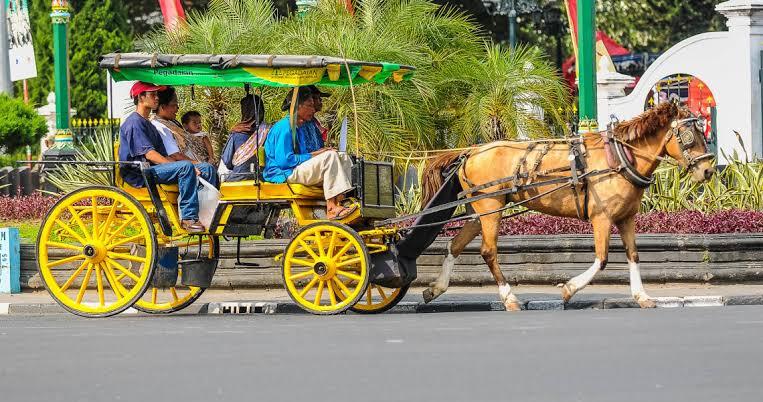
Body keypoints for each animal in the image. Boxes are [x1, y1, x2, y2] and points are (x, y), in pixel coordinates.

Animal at [418, 102, 716, 310]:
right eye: (688, 134)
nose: (708, 171)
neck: (620, 157)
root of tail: (470, 151)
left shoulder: (626, 218)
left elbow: (633, 255)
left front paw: (641, 296)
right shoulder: (601, 218)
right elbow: (602, 259)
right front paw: (569, 288)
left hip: (480, 211)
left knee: (455, 245)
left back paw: (436, 288)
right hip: (491, 206)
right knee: (489, 252)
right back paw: (509, 297)